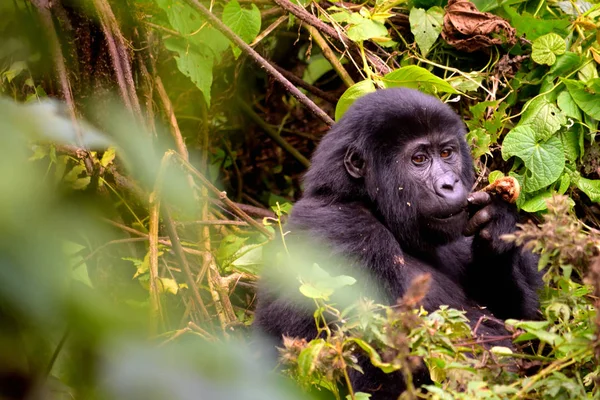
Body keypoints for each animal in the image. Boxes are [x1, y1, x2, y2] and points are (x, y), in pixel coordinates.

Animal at [254, 88, 544, 400]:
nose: (450, 184)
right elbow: (380, 370)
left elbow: (526, 322)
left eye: (446, 153)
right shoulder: (346, 231)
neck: (358, 197)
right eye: (419, 159)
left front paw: (498, 227)